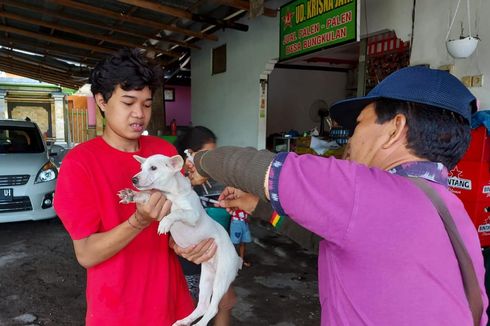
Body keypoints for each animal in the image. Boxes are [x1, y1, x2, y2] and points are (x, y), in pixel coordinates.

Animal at [117, 153, 242, 326]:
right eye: (141, 167)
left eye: (153, 168)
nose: (133, 179)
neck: (171, 193)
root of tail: (237, 259)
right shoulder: (158, 196)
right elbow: (146, 195)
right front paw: (131, 195)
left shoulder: (191, 214)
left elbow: (177, 212)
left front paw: (165, 223)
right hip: (206, 278)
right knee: (202, 305)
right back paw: (184, 321)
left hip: (222, 277)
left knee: (212, 308)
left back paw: (200, 324)